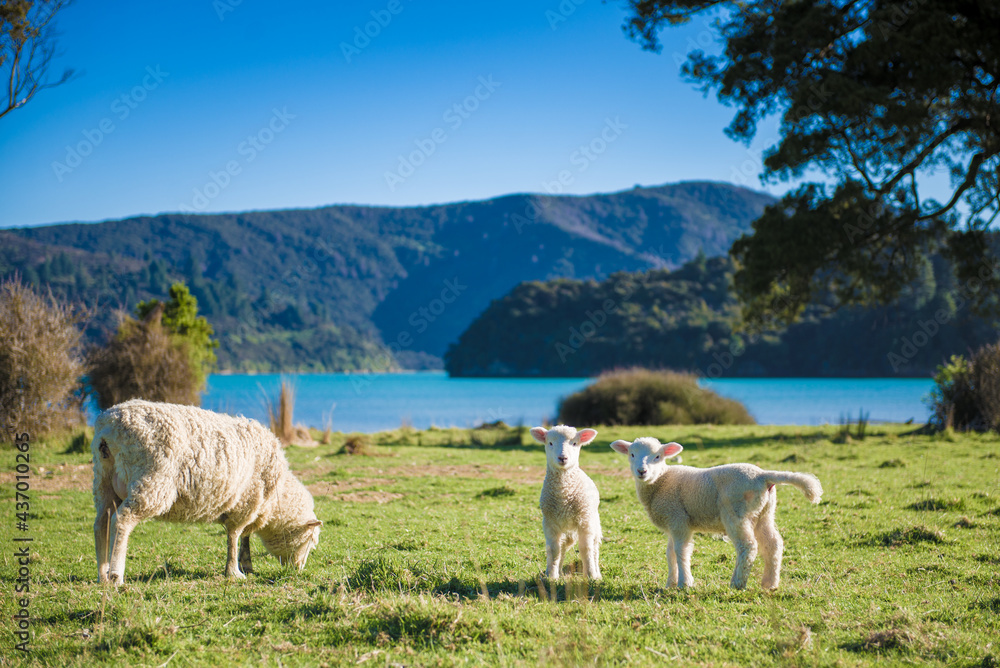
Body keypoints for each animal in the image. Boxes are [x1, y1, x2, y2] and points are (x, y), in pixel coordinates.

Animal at [92, 399, 322, 585]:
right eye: (310, 542)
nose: (298, 570)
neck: (276, 498)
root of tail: (109, 425)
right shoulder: (246, 502)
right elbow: (234, 536)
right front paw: (234, 571)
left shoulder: (249, 506)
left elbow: (245, 537)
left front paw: (246, 564)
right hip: (151, 481)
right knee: (122, 520)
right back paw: (116, 576)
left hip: (103, 482)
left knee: (101, 523)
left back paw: (102, 575)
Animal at [531, 425, 602, 580]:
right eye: (550, 443)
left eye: (574, 443)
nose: (563, 458)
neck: (564, 494)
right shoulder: (550, 522)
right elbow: (554, 549)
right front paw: (552, 576)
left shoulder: (585, 520)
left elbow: (586, 548)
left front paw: (590, 575)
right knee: (562, 547)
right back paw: (554, 570)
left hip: (594, 522)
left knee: (594, 547)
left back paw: (597, 572)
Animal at [610, 437, 822, 590]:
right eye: (631, 454)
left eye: (657, 457)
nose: (641, 471)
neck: (661, 481)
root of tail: (763, 476)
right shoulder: (673, 523)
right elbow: (670, 553)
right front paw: (670, 583)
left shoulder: (679, 520)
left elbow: (681, 551)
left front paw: (684, 584)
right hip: (764, 512)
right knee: (773, 544)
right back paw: (769, 583)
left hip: (736, 513)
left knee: (748, 546)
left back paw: (737, 583)